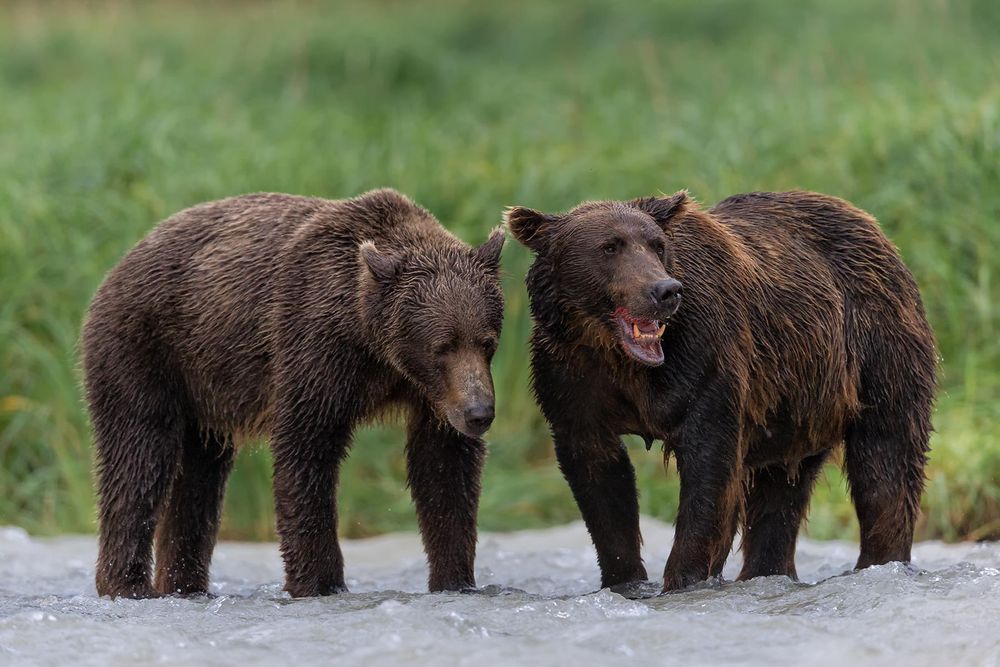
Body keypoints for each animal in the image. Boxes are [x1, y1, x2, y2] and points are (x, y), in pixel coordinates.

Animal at [82, 188, 505, 599]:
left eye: (486, 342)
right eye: (441, 347)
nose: (479, 413)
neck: (374, 344)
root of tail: (122, 261)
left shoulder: (433, 396)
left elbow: (443, 469)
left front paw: (455, 580)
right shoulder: (316, 344)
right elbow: (306, 448)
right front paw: (321, 581)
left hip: (202, 393)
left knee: (199, 479)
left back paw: (184, 585)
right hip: (146, 350)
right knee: (140, 454)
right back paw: (128, 585)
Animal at [507, 190, 936, 592]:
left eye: (657, 245)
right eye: (610, 246)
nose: (664, 290)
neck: (621, 360)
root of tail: (872, 226)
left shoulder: (704, 362)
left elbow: (708, 471)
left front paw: (683, 578)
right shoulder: (571, 381)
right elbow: (599, 478)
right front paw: (625, 580)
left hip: (876, 344)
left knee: (886, 459)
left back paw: (881, 562)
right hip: (800, 404)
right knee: (782, 492)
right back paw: (768, 572)